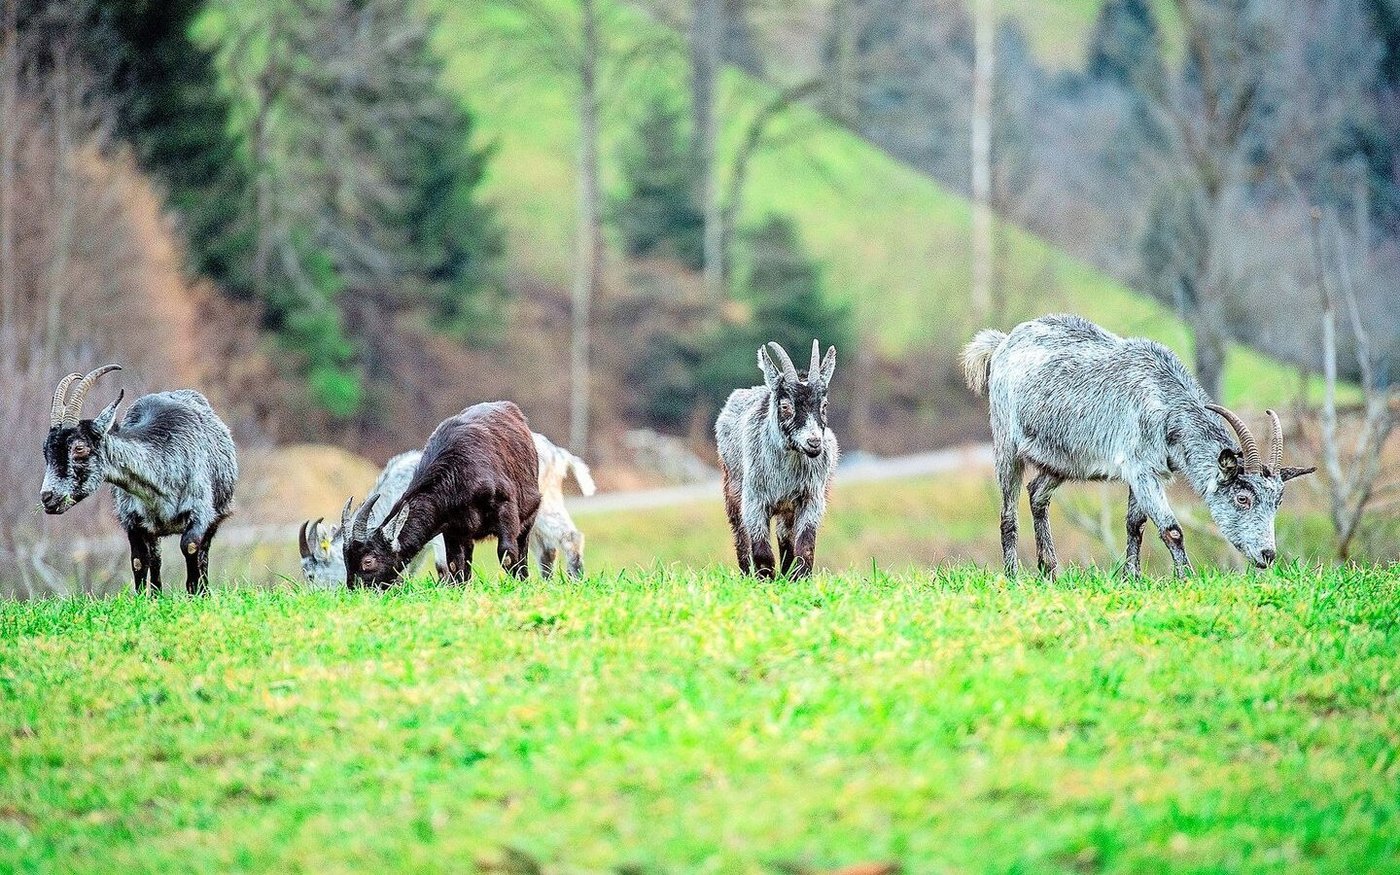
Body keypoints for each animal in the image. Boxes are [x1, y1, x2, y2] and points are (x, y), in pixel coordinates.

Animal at [41, 366, 238, 595]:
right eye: (45, 451)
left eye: (79, 448)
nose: (47, 497)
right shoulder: (132, 520)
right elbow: (139, 560)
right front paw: (145, 599)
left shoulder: (200, 510)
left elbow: (190, 547)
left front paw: (195, 593)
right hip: (153, 530)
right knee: (156, 557)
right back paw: (157, 594)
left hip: (217, 515)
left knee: (203, 553)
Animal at [340, 401, 540, 588]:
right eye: (346, 561)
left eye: (368, 561)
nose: (356, 590)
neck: (458, 476)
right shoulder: (452, 529)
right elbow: (455, 565)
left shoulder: (504, 508)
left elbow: (508, 554)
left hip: (529, 515)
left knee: (522, 548)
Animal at [715, 340, 838, 579]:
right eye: (785, 406)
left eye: (824, 405)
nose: (814, 442)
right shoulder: (754, 499)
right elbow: (761, 550)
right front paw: (764, 580)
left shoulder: (811, 497)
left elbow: (805, 546)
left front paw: (800, 578)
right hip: (732, 489)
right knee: (740, 535)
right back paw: (747, 573)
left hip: (787, 508)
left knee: (785, 536)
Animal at [962, 314, 1316, 577]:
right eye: (1242, 498)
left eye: (1278, 502)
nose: (1267, 554)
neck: (1163, 399)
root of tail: (1003, 342)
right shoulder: (1140, 469)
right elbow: (1171, 528)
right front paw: (1186, 580)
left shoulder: (1149, 471)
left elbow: (1136, 524)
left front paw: (1131, 578)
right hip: (1006, 443)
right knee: (1008, 513)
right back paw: (1013, 577)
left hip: (1064, 459)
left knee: (1037, 493)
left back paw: (1050, 570)